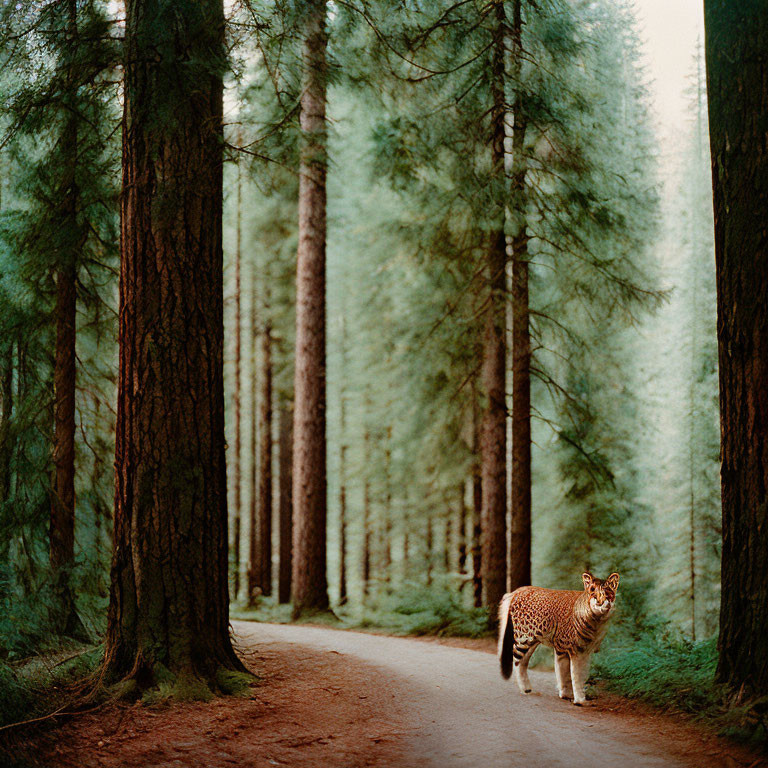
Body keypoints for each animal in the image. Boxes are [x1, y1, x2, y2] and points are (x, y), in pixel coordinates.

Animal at [498, 572, 616, 704]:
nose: (601, 601)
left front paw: (569, 695)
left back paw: (527, 688)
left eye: (608, 591)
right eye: (592, 589)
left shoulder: (580, 650)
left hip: (533, 641)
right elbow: (573, 674)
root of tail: (516, 591)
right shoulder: (571, 649)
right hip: (523, 639)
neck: (597, 620)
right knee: (517, 661)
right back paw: (524, 688)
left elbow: (573, 673)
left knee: (523, 661)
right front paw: (577, 699)